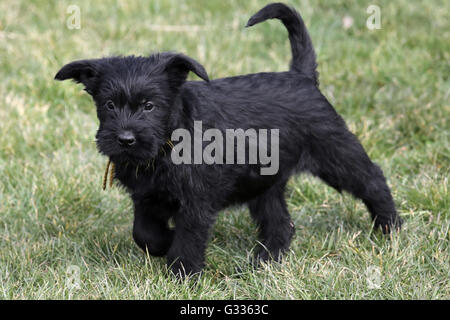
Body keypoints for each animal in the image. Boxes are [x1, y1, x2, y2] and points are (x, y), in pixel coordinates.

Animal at [54, 2, 402, 276]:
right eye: (109, 105)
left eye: (150, 106)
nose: (125, 139)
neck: (168, 142)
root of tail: (301, 75)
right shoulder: (146, 197)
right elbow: (143, 233)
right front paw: (163, 245)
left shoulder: (196, 202)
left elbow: (189, 238)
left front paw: (182, 273)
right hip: (264, 183)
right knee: (280, 223)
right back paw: (265, 259)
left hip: (336, 153)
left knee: (372, 179)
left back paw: (390, 228)